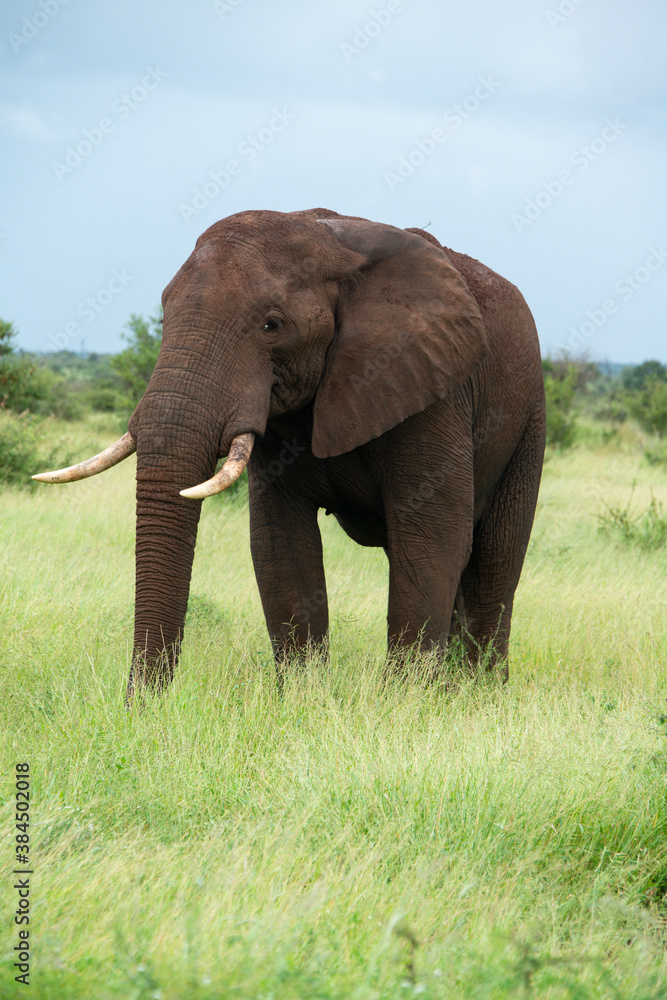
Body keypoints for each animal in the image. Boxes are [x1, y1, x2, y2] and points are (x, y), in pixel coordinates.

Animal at [34, 208, 546, 699]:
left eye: (272, 324)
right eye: (163, 316)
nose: (142, 706)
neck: (328, 238)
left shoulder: (433, 385)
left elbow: (430, 540)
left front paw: (404, 705)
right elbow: (280, 544)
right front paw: (302, 699)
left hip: (528, 418)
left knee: (495, 559)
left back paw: (478, 694)